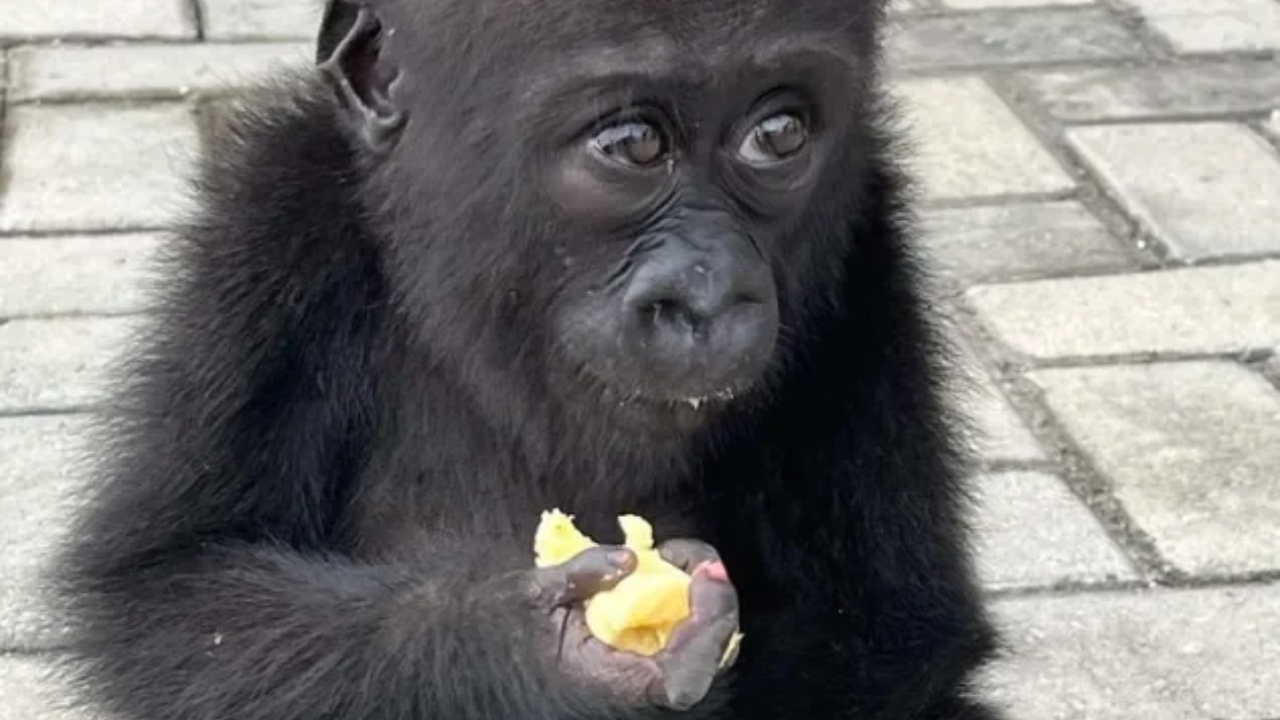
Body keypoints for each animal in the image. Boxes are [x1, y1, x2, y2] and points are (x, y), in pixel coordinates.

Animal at [50, 0, 1006, 718]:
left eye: (778, 133)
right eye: (631, 145)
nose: (706, 295)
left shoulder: (872, 252)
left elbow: (889, 629)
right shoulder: (273, 224)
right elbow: (173, 596)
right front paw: (549, 650)